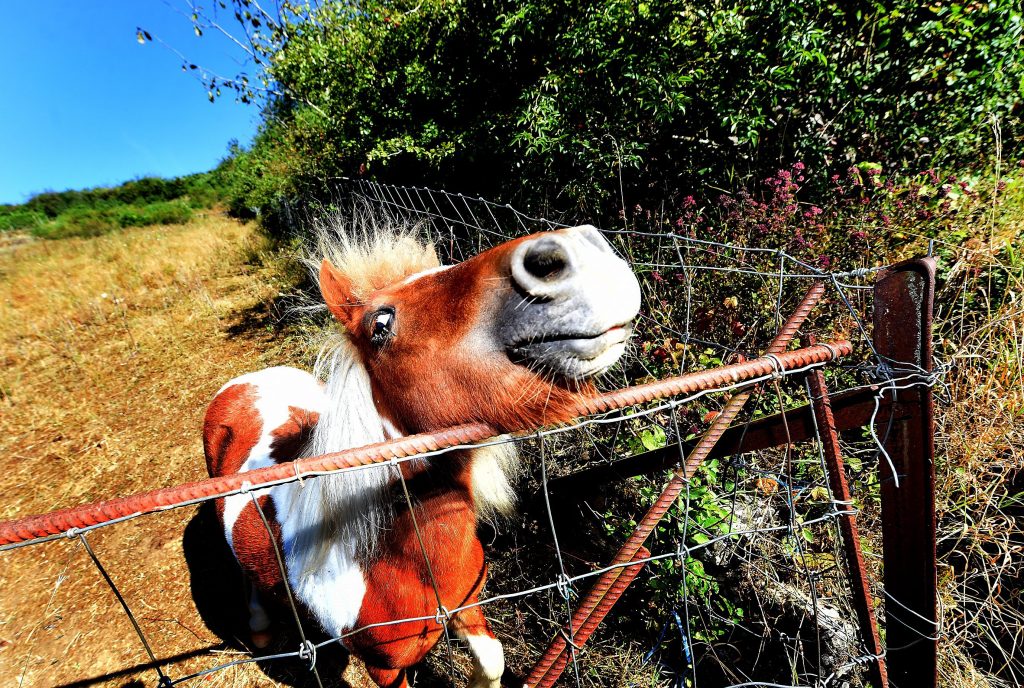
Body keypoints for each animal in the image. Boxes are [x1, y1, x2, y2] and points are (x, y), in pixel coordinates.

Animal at [201, 216, 638, 688]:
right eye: (380, 323)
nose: (575, 251)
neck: (388, 558)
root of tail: (244, 382)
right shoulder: (385, 669)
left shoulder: (467, 607)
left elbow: (493, 659)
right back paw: (260, 627)